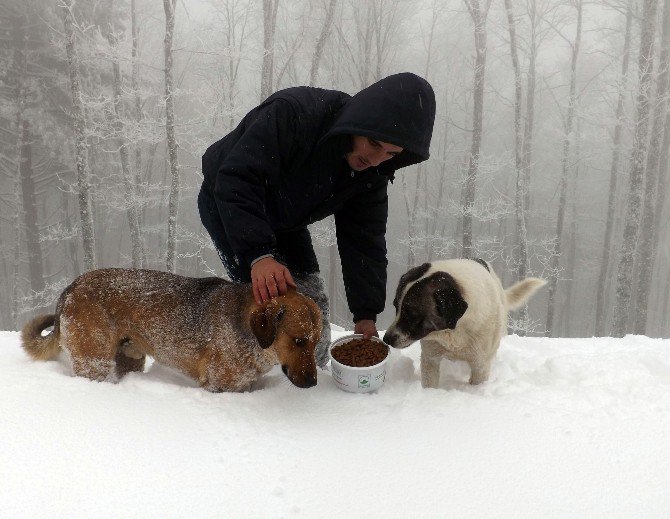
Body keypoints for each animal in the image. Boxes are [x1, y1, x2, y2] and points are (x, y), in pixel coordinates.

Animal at [22, 270, 322, 392]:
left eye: (316, 343)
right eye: (298, 341)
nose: (312, 383)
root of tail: (70, 289)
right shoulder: (218, 387)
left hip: (128, 358)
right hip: (94, 360)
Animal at [384, 260, 544, 386]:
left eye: (412, 314)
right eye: (396, 306)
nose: (386, 339)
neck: (454, 332)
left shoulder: (480, 365)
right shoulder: (430, 359)